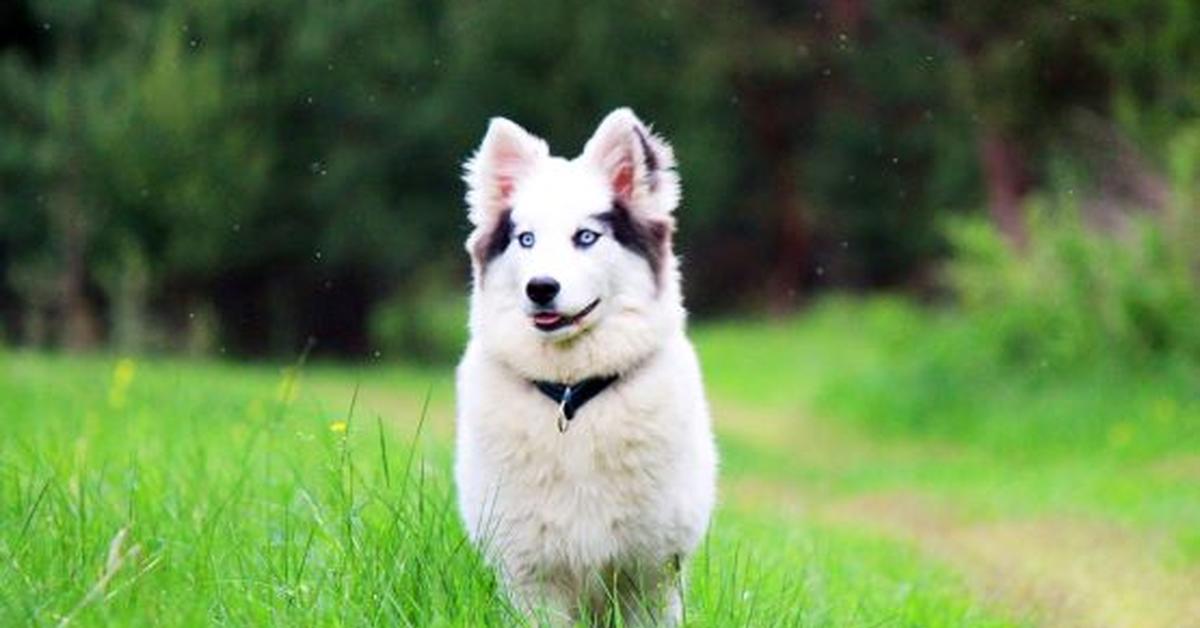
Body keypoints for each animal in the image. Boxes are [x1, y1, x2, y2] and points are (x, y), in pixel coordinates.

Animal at [456, 108, 720, 624]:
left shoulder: (651, 574)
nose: (540, 288)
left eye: (585, 237)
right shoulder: (531, 576)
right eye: (526, 240)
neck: (571, 394)